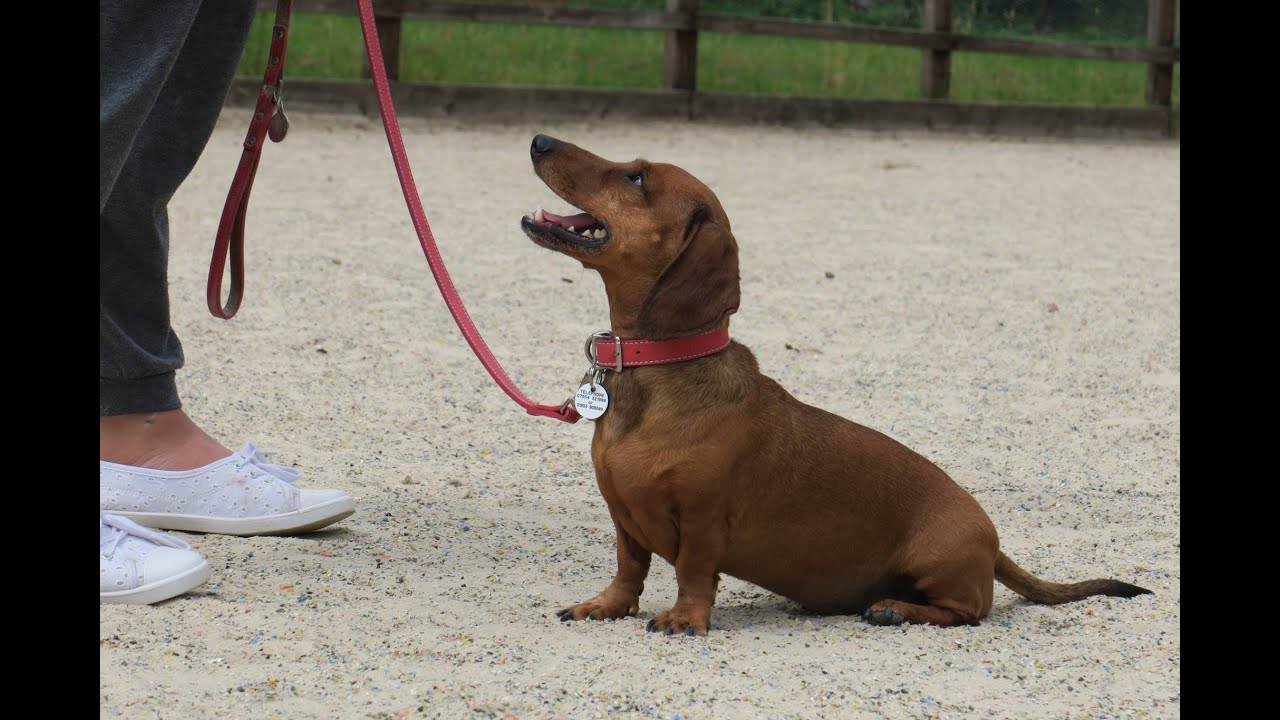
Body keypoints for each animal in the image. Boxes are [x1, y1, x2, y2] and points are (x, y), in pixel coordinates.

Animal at [517, 133, 1152, 632]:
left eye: (636, 177)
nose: (540, 141)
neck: (656, 375)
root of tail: (993, 543)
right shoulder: (623, 517)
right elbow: (629, 569)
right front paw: (605, 605)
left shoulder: (702, 520)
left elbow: (694, 573)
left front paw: (685, 619)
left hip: (941, 563)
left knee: (970, 610)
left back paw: (896, 608)